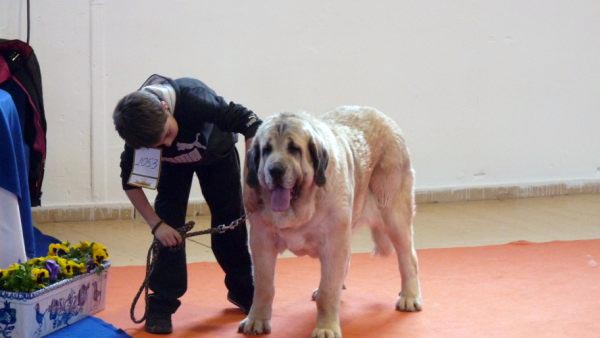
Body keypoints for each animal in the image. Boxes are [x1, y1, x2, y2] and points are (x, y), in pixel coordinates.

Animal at [239, 106, 422, 338]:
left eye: (294, 149)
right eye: (266, 150)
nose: (275, 170)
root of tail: (384, 118)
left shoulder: (334, 241)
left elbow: (328, 291)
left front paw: (325, 327)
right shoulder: (261, 241)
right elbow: (263, 287)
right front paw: (256, 320)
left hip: (394, 215)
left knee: (408, 258)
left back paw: (410, 296)